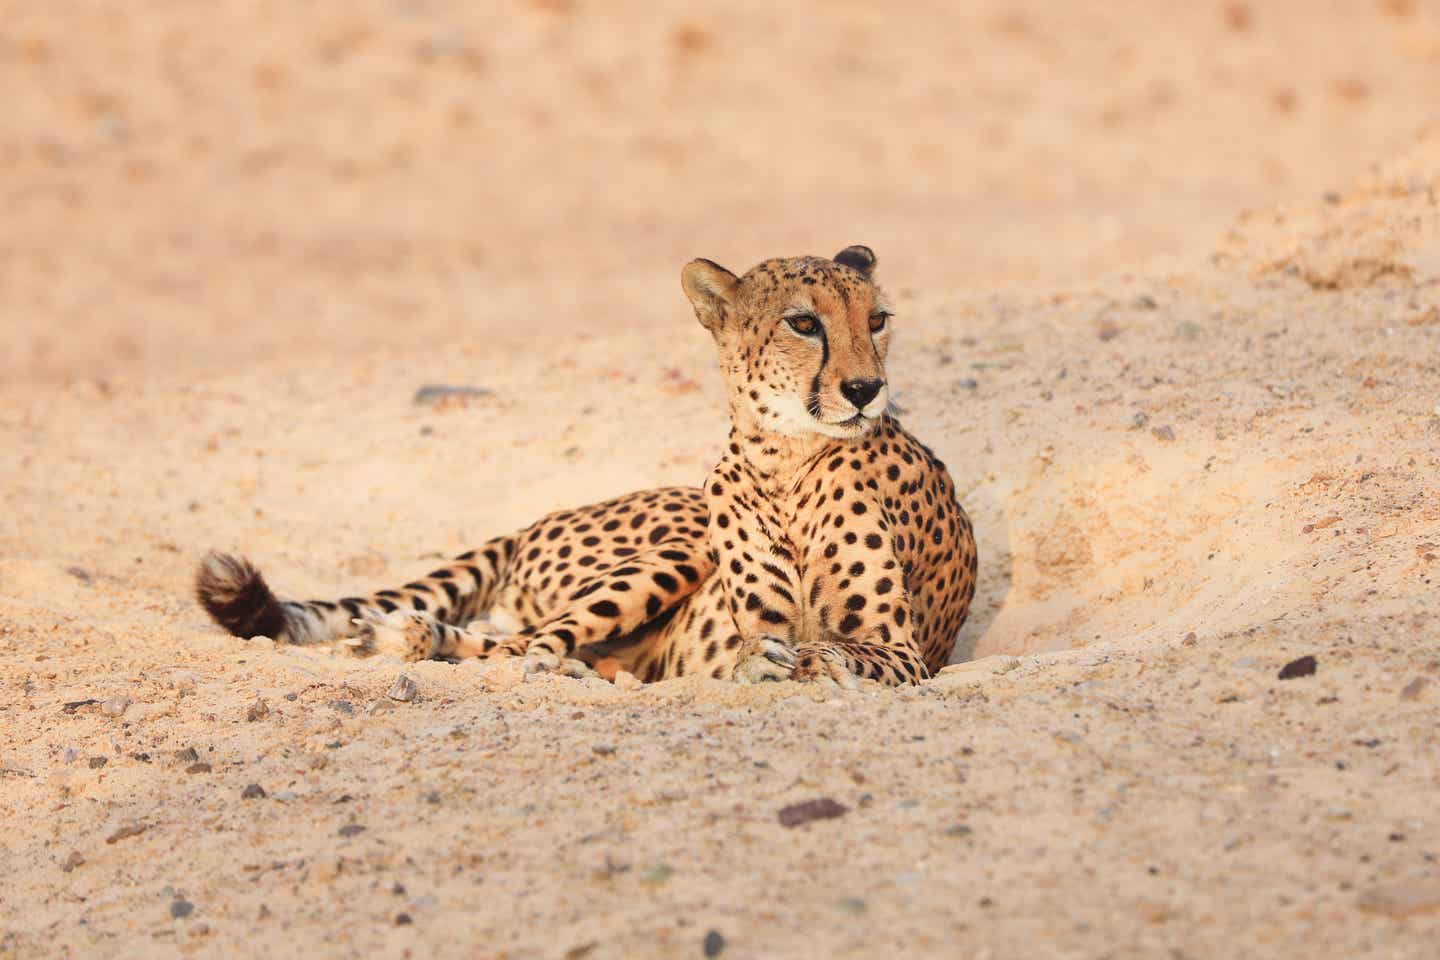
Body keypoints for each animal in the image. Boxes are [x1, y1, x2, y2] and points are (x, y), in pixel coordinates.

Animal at [200, 246, 979, 682]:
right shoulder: (762, 617)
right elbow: (776, 649)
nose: (865, 388)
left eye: (876, 321)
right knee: (526, 646)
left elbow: (836, 652)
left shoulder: (902, 650)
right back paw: (416, 636)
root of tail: (534, 520)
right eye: (804, 323)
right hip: (674, 552)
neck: (781, 458)